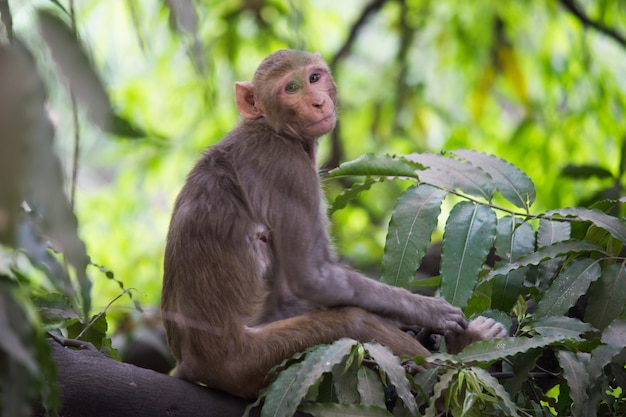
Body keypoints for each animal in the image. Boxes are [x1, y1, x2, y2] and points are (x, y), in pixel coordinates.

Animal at [160, 48, 502, 396]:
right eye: (291, 88)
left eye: (314, 78)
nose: (317, 102)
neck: (270, 128)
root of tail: (192, 363)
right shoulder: (287, 168)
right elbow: (314, 278)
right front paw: (429, 312)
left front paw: (415, 324)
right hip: (249, 361)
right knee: (353, 321)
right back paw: (461, 351)